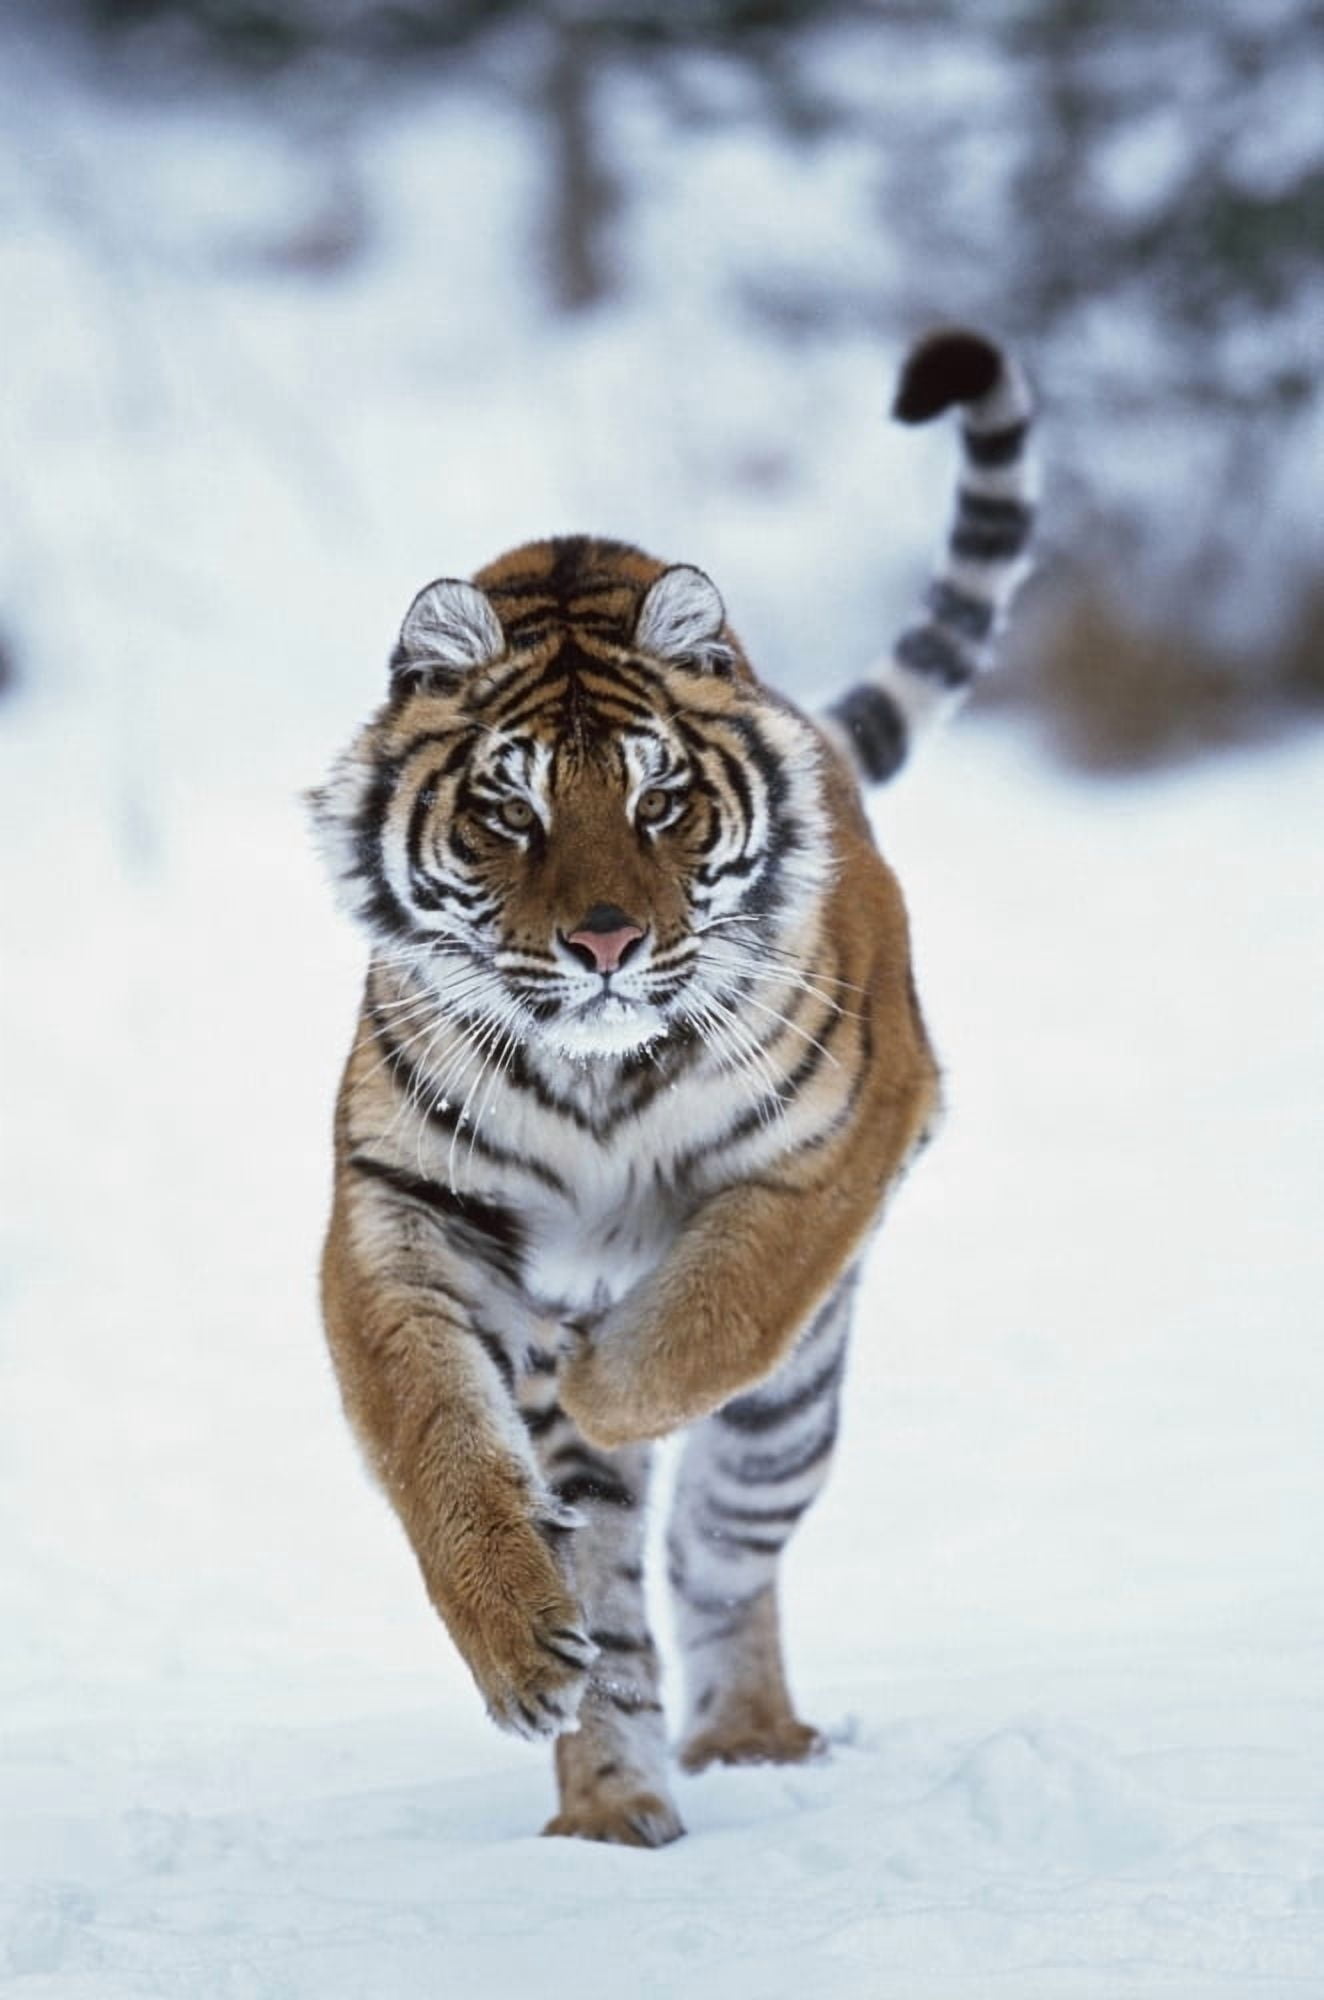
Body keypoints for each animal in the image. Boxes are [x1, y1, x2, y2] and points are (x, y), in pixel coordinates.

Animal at [310, 328, 1034, 1848]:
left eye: (659, 803)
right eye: (510, 808)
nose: (604, 944)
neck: (591, 1067)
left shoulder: (855, 1128)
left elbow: (720, 1301)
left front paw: (607, 1376)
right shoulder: (401, 1206)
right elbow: (432, 1435)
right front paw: (517, 1641)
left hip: (789, 1421)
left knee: (719, 1549)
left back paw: (751, 1736)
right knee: (618, 1614)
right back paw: (607, 1805)